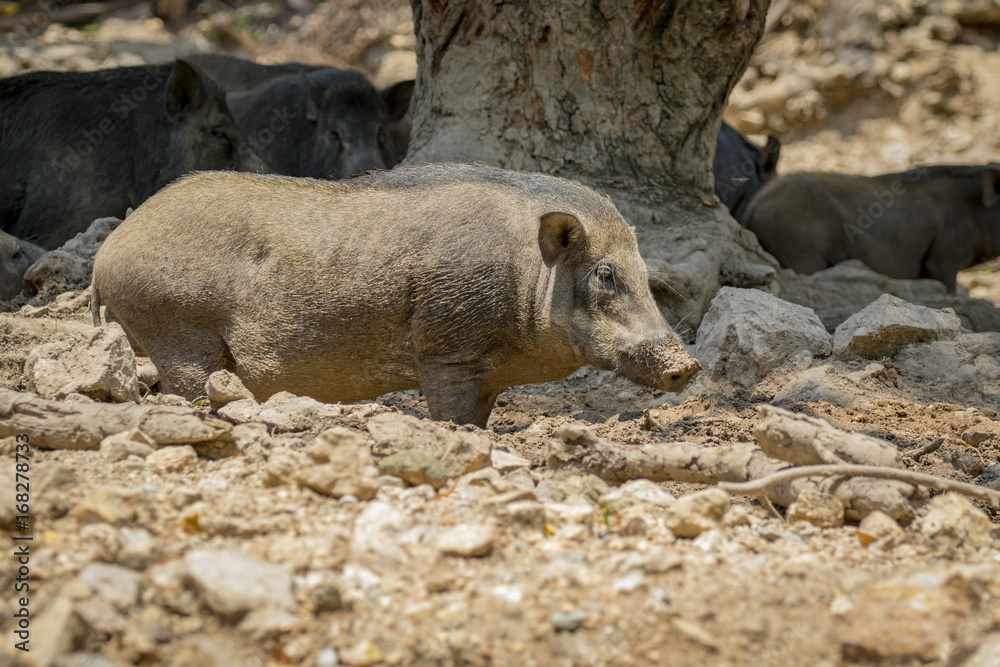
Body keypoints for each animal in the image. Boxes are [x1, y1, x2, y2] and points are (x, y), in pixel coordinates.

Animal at [92, 163, 701, 427]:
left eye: (643, 273)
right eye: (604, 275)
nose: (688, 365)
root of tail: (107, 252)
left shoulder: (486, 372)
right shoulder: (447, 350)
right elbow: (452, 416)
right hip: (176, 330)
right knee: (186, 387)